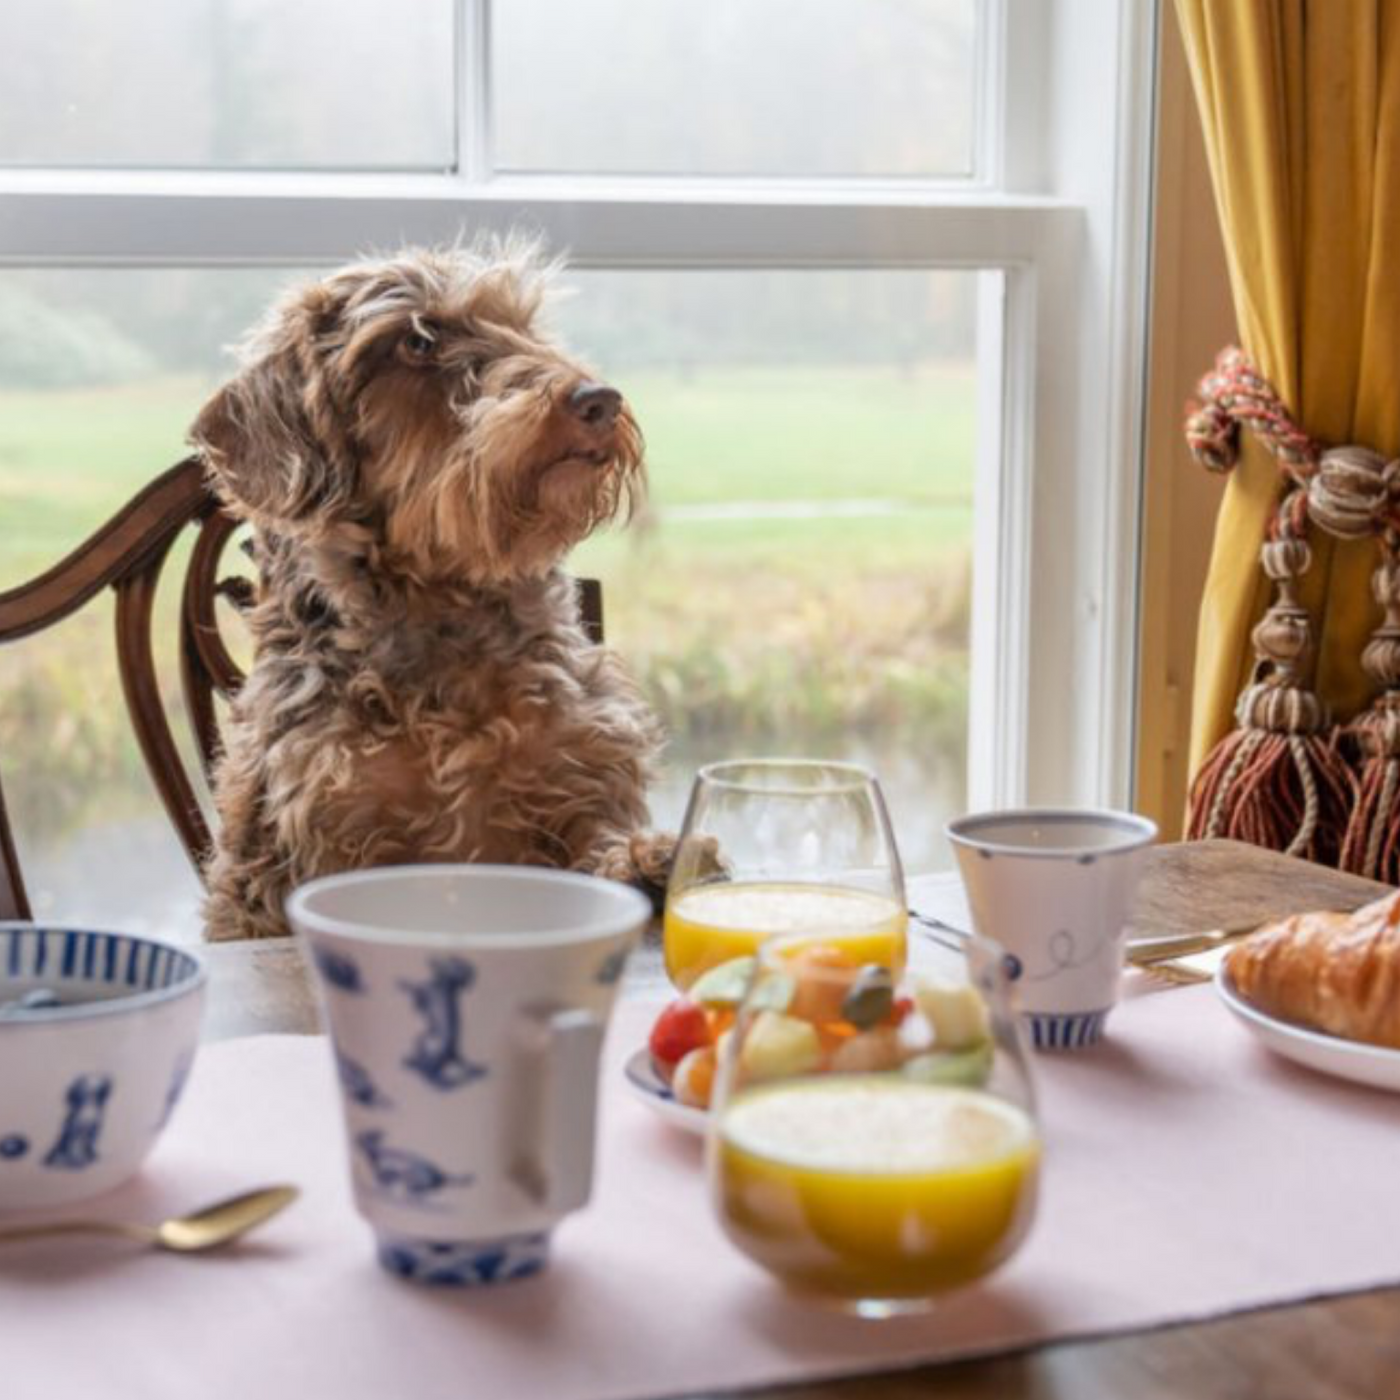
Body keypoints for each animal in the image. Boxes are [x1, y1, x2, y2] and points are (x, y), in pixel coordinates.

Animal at [194, 240, 674, 940]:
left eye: (522, 323)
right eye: (417, 341)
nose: (599, 399)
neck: (444, 608)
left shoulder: (587, 771)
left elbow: (599, 841)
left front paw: (643, 863)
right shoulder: (321, 827)